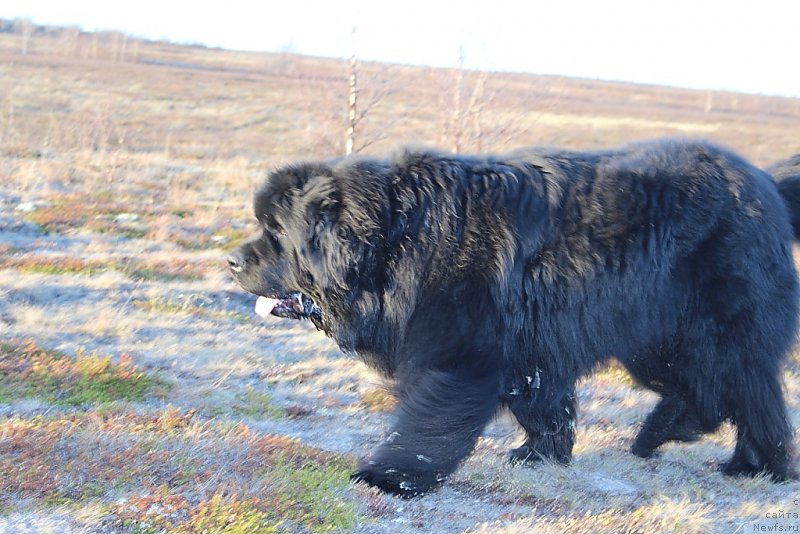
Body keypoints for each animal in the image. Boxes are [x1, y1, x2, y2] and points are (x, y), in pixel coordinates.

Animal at [228, 139, 796, 498]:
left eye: (276, 232)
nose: (232, 260)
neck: (396, 243)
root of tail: (766, 183)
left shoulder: (465, 352)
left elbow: (430, 418)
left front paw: (388, 475)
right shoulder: (529, 350)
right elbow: (543, 405)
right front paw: (540, 454)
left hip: (708, 330)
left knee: (750, 392)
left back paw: (754, 465)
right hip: (656, 339)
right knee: (707, 391)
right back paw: (663, 434)